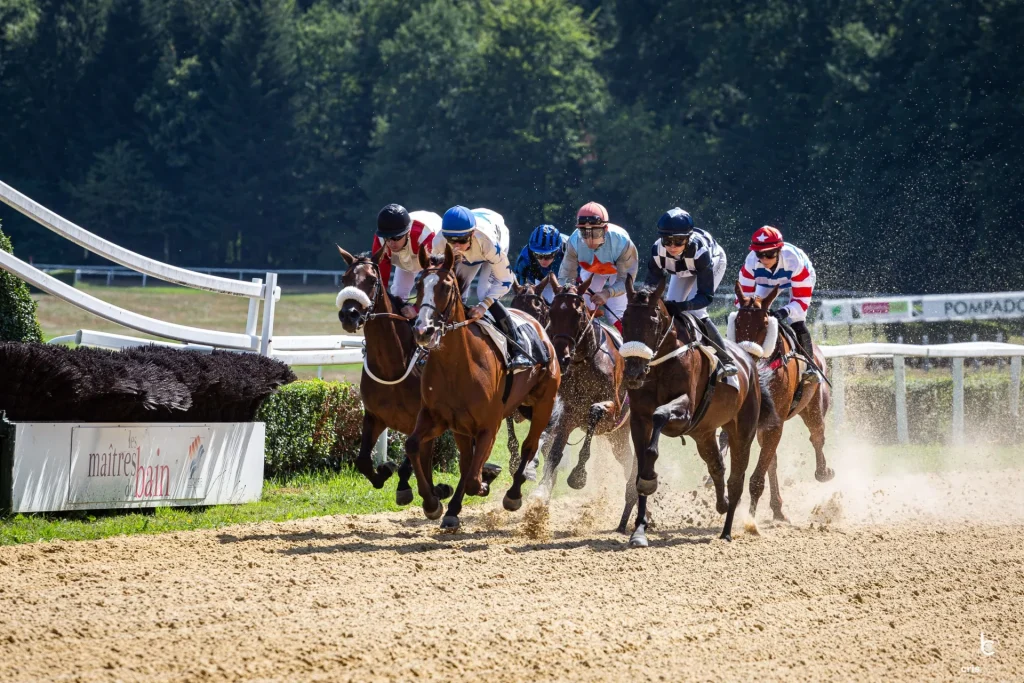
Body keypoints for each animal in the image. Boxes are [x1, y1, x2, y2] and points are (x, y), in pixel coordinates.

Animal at [333, 248, 454, 505]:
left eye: (372, 280)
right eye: (344, 280)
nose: (349, 314)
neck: (392, 366)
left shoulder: (423, 420)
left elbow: (414, 459)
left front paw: (420, 489)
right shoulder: (374, 416)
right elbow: (362, 461)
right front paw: (384, 470)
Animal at [403, 242, 561, 532]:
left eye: (446, 287)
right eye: (418, 285)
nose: (423, 331)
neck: (456, 365)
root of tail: (539, 328)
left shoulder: (490, 424)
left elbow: (474, 479)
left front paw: (486, 481)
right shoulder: (438, 418)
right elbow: (413, 445)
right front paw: (433, 504)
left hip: (544, 403)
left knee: (529, 446)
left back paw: (513, 495)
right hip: (465, 427)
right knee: (468, 461)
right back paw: (454, 509)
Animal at [540, 274, 634, 532]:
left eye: (577, 313)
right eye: (551, 312)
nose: (561, 357)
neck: (585, 362)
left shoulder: (614, 411)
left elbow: (594, 412)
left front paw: (578, 475)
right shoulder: (568, 413)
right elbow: (554, 454)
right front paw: (538, 501)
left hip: (620, 429)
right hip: (617, 438)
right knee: (628, 461)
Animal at [614, 274, 774, 548]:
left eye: (653, 322)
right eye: (625, 319)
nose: (633, 372)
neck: (662, 363)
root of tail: (749, 362)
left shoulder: (685, 411)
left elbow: (660, 416)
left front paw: (650, 474)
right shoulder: (638, 418)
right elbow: (640, 468)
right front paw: (639, 530)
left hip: (742, 431)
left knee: (737, 478)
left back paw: (727, 530)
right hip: (704, 433)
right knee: (716, 465)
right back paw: (722, 504)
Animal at [729, 282, 831, 524]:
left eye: (765, 324)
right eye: (737, 321)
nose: (745, 356)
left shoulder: (775, 423)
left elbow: (757, 477)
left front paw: (750, 519)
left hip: (814, 407)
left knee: (817, 436)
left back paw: (823, 472)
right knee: (773, 460)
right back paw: (777, 508)